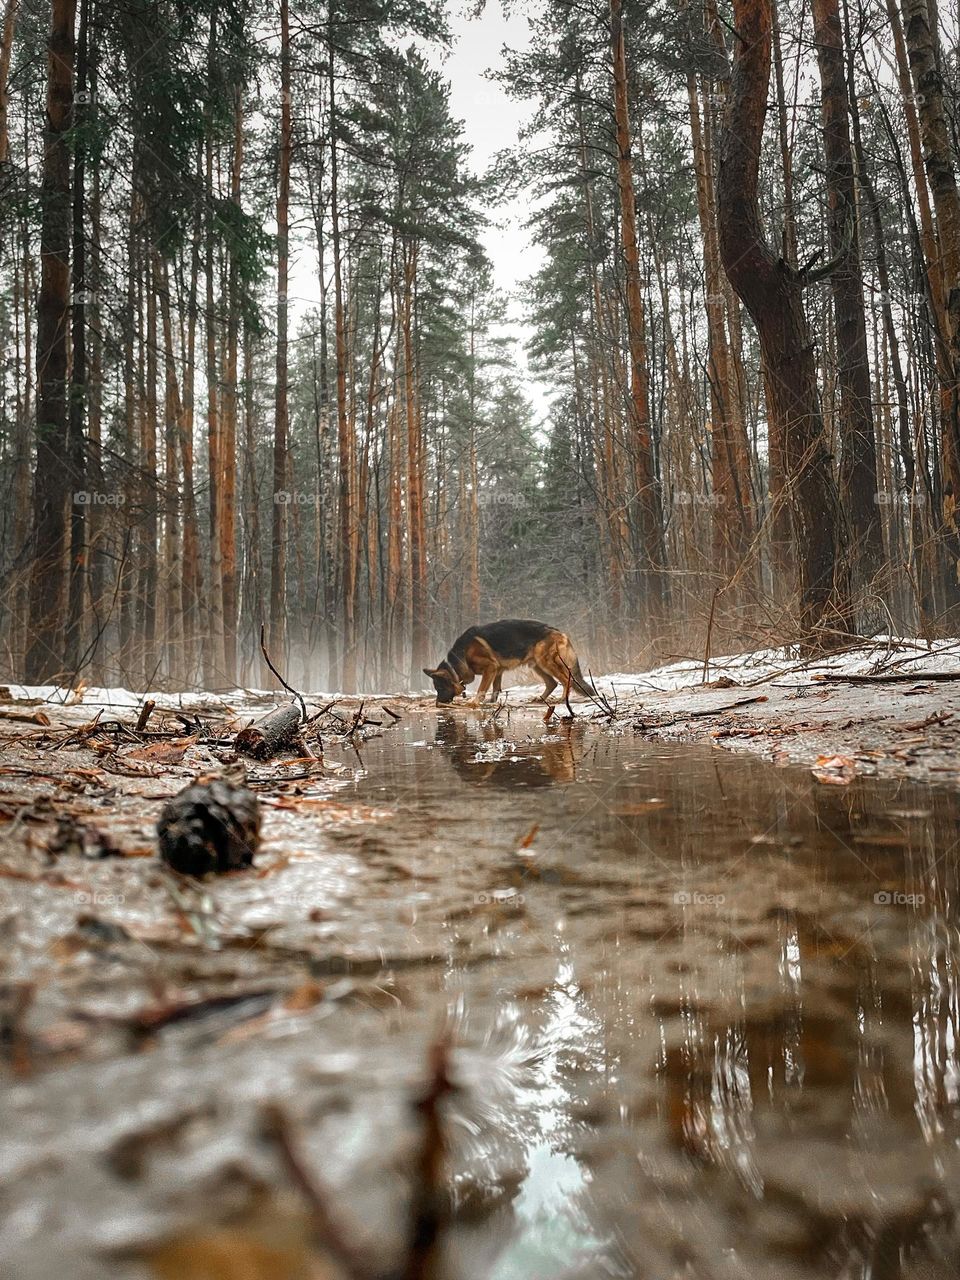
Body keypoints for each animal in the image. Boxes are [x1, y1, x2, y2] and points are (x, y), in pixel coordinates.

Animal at [427, 616, 599, 706]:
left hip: (546, 662)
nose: (437, 704)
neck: (458, 658)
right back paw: (541, 699)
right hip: (537, 665)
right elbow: (495, 689)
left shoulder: (490, 668)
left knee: (566, 679)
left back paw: (562, 699)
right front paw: (491, 702)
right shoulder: (497, 671)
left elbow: (481, 689)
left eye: (439, 688)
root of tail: (560, 632)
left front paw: (475, 702)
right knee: (552, 683)